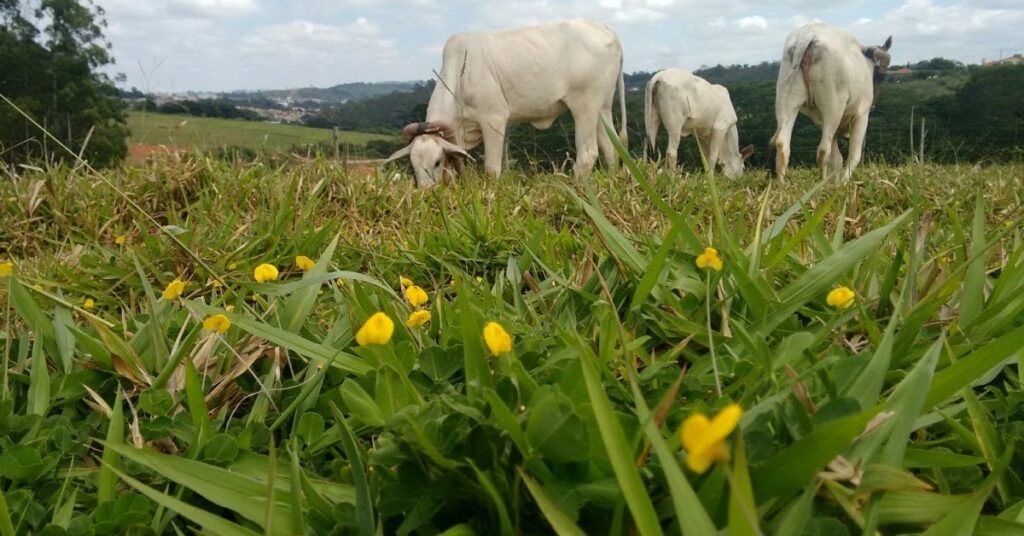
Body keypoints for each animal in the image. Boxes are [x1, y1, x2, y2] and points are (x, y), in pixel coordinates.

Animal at [385, 19, 622, 187]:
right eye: (412, 165)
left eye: (436, 162)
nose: (425, 194)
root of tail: (606, 30)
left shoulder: (493, 119)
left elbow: (492, 167)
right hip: (602, 107)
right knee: (611, 147)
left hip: (585, 106)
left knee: (588, 153)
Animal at [770, 22, 892, 180]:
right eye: (882, 74)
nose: (874, 106)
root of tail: (808, 35)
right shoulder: (861, 116)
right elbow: (853, 156)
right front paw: (843, 182)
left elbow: (837, 160)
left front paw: (836, 182)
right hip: (833, 107)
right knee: (823, 150)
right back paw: (822, 183)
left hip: (787, 101)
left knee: (782, 145)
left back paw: (782, 184)